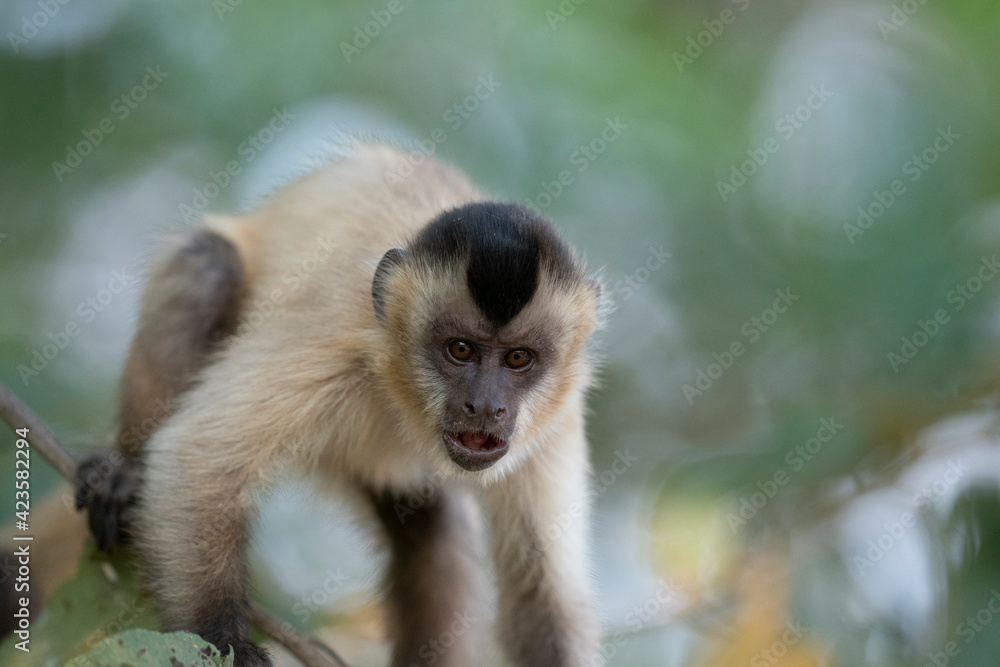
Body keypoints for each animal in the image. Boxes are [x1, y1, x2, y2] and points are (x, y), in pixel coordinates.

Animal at [78, 143, 605, 666]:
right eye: (460, 350)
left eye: (518, 359)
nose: (485, 405)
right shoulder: (338, 346)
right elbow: (199, 457)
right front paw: (224, 642)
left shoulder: (557, 416)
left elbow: (545, 595)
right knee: (207, 263)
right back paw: (125, 465)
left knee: (433, 527)